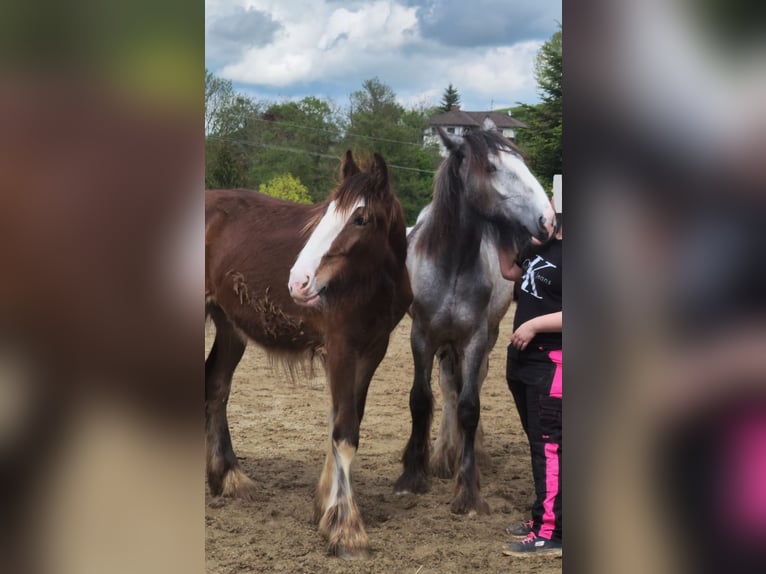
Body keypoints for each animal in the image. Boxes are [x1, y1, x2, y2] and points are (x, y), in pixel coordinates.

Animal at [204, 151, 412, 558]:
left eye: (360, 218)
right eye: (327, 212)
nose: (299, 281)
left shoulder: (371, 350)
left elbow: (344, 422)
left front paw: (326, 507)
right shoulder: (340, 347)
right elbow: (344, 430)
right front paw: (347, 528)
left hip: (230, 327)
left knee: (216, 388)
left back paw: (229, 478)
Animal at [393, 128, 556, 515]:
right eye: (492, 167)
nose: (547, 219)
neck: (452, 263)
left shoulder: (476, 339)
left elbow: (470, 406)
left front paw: (467, 490)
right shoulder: (421, 337)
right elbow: (420, 400)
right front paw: (412, 475)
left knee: (470, 386)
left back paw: (472, 454)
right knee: (446, 387)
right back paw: (440, 456)